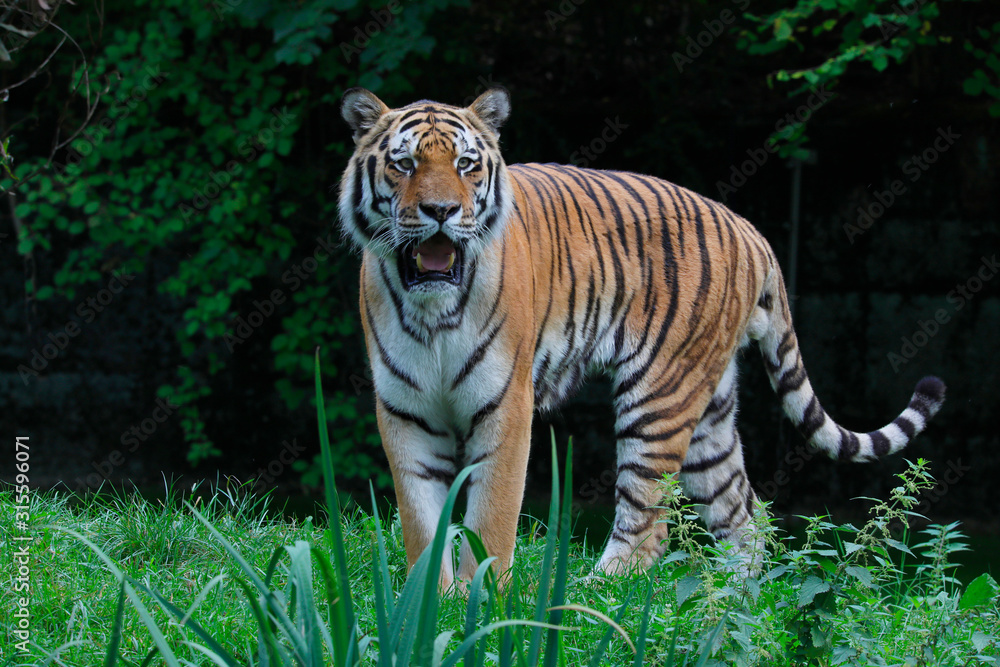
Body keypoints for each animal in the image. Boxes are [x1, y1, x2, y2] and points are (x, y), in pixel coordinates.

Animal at [337, 86, 946, 588]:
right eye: (404, 163)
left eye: (465, 165)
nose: (442, 211)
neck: (433, 313)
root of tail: (751, 231)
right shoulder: (405, 411)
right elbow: (421, 520)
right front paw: (427, 604)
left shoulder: (506, 407)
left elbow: (491, 518)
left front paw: (481, 602)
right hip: (709, 414)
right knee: (745, 517)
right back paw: (734, 603)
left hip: (659, 399)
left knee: (650, 525)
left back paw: (591, 596)